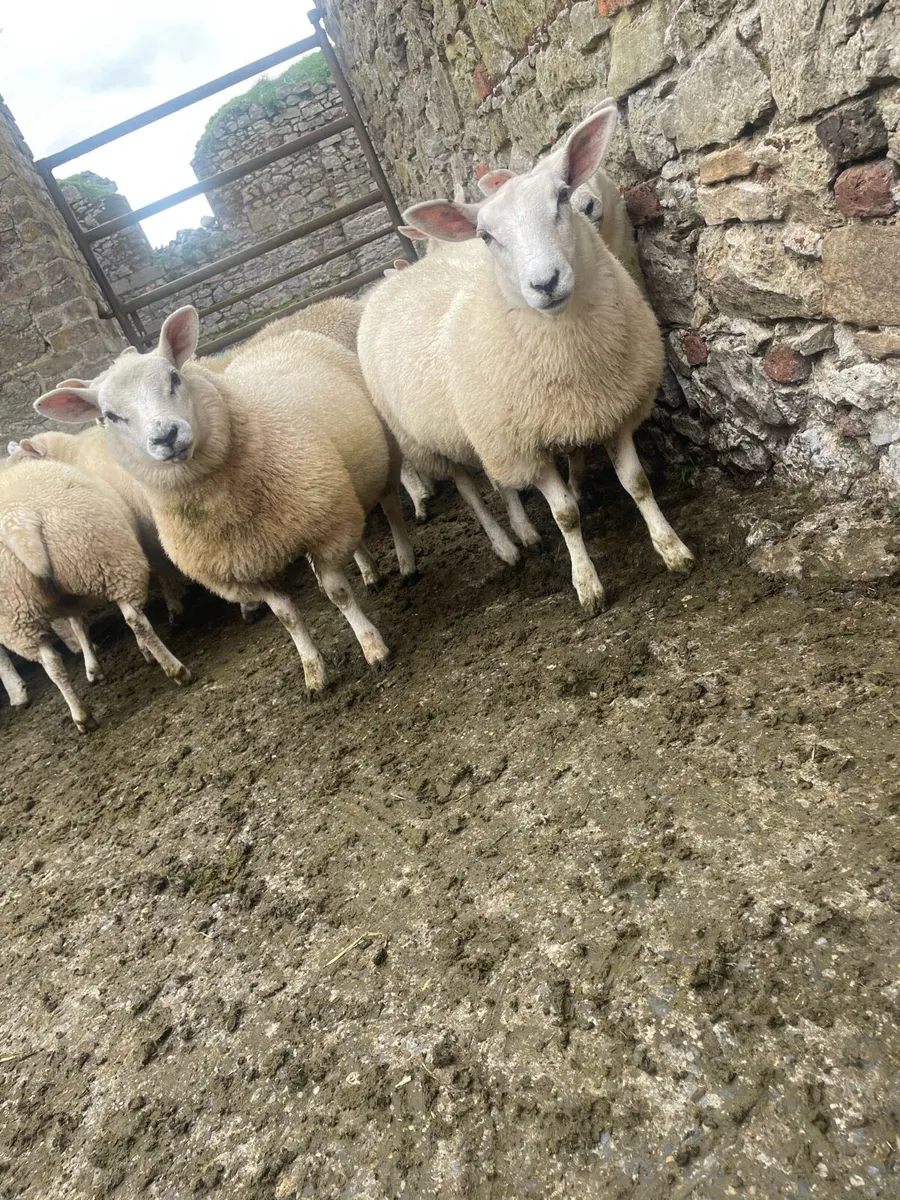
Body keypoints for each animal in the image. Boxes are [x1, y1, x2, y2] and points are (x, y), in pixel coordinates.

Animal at [0, 458, 191, 732]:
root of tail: (19, 522)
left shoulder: (70, 600)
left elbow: (79, 626)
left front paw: (92, 667)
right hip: (109, 561)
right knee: (136, 620)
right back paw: (176, 670)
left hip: (16, 613)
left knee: (51, 662)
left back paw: (81, 716)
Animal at [35, 307, 417, 695]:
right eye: (110, 416)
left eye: (174, 378)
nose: (166, 436)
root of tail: (288, 333)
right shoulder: (246, 569)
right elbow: (287, 617)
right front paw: (313, 673)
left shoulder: (323, 531)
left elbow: (337, 594)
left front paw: (373, 648)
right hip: (338, 490)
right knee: (357, 528)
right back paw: (369, 571)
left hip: (380, 459)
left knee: (390, 508)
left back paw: (406, 564)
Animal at [356, 100, 693, 615]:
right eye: (484, 235)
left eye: (562, 197)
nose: (545, 283)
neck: (572, 354)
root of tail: (406, 271)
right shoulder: (522, 445)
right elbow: (565, 514)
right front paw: (586, 583)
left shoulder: (613, 411)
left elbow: (636, 483)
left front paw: (671, 546)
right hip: (432, 440)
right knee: (473, 491)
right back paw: (508, 544)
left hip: (484, 433)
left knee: (500, 484)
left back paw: (525, 531)